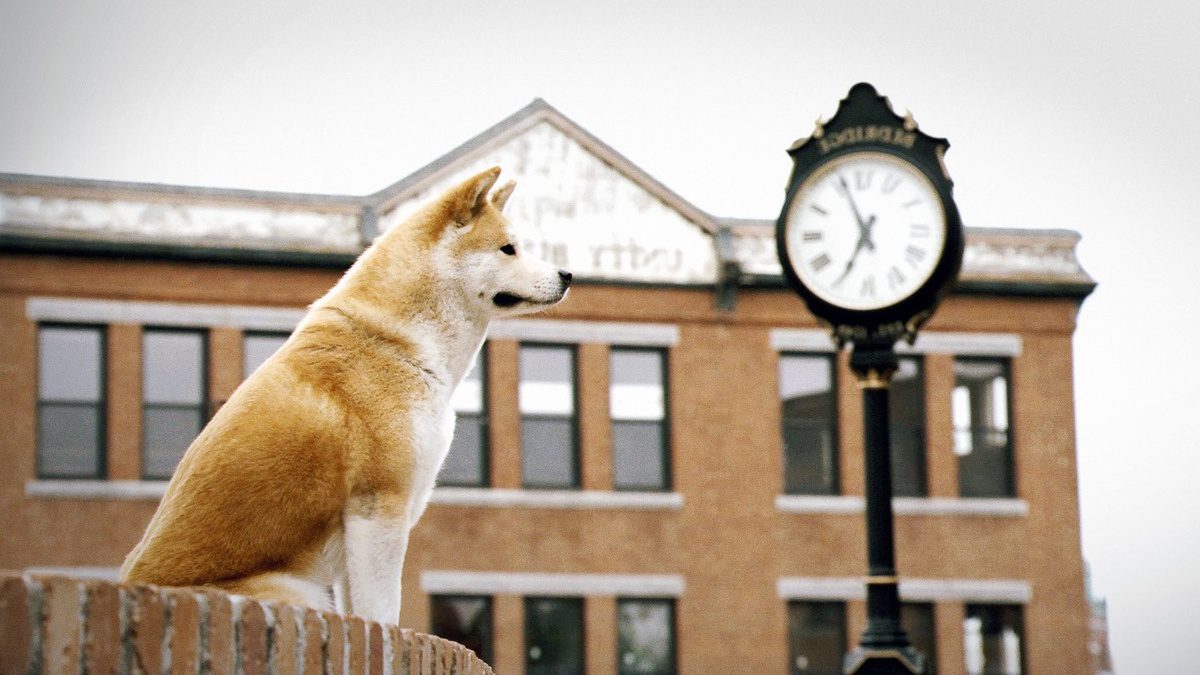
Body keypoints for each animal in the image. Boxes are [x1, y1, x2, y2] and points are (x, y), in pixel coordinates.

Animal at [119, 166, 568, 619]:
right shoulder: (378, 510)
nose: (567, 275)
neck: (397, 344)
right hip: (302, 592)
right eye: (508, 249)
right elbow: (383, 615)